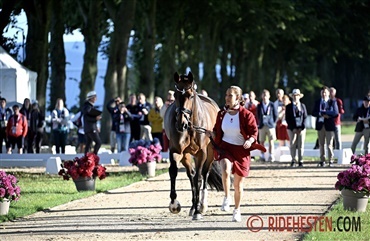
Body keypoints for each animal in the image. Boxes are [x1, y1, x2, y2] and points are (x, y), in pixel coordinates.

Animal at [165, 70, 223, 219]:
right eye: (175, 95)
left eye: (190, 95)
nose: (181, 124)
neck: (190, 127)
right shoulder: (176, 150)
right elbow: (173, 171)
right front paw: (174, 204)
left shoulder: (202, 153)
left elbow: (199, 177)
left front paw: (198, 211)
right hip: (187, 155)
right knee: (191, 174)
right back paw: (193, 207)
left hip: (209, 153)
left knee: (203, 174)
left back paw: (201, 205)